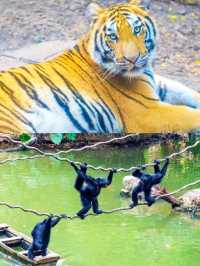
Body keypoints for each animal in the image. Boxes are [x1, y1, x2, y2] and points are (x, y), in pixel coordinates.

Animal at [0, 0, 200, 133]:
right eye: (113, 37)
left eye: (137, 30)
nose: (132, 59)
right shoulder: (149, 111)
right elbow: (190, 114)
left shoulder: (156, 85)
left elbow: (185, 90)